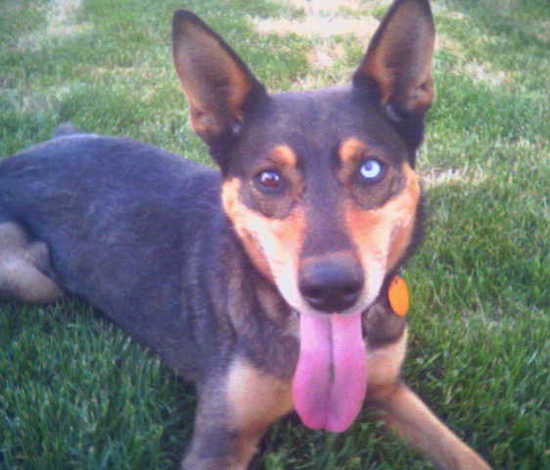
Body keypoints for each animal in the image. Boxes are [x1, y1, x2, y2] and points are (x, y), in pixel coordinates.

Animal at [0, 0, 492, 468]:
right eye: (269, 179)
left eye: (370, 169)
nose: (332, 290)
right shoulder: (221, 439)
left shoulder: (389, 387)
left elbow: (468, 456)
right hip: (34, 280)